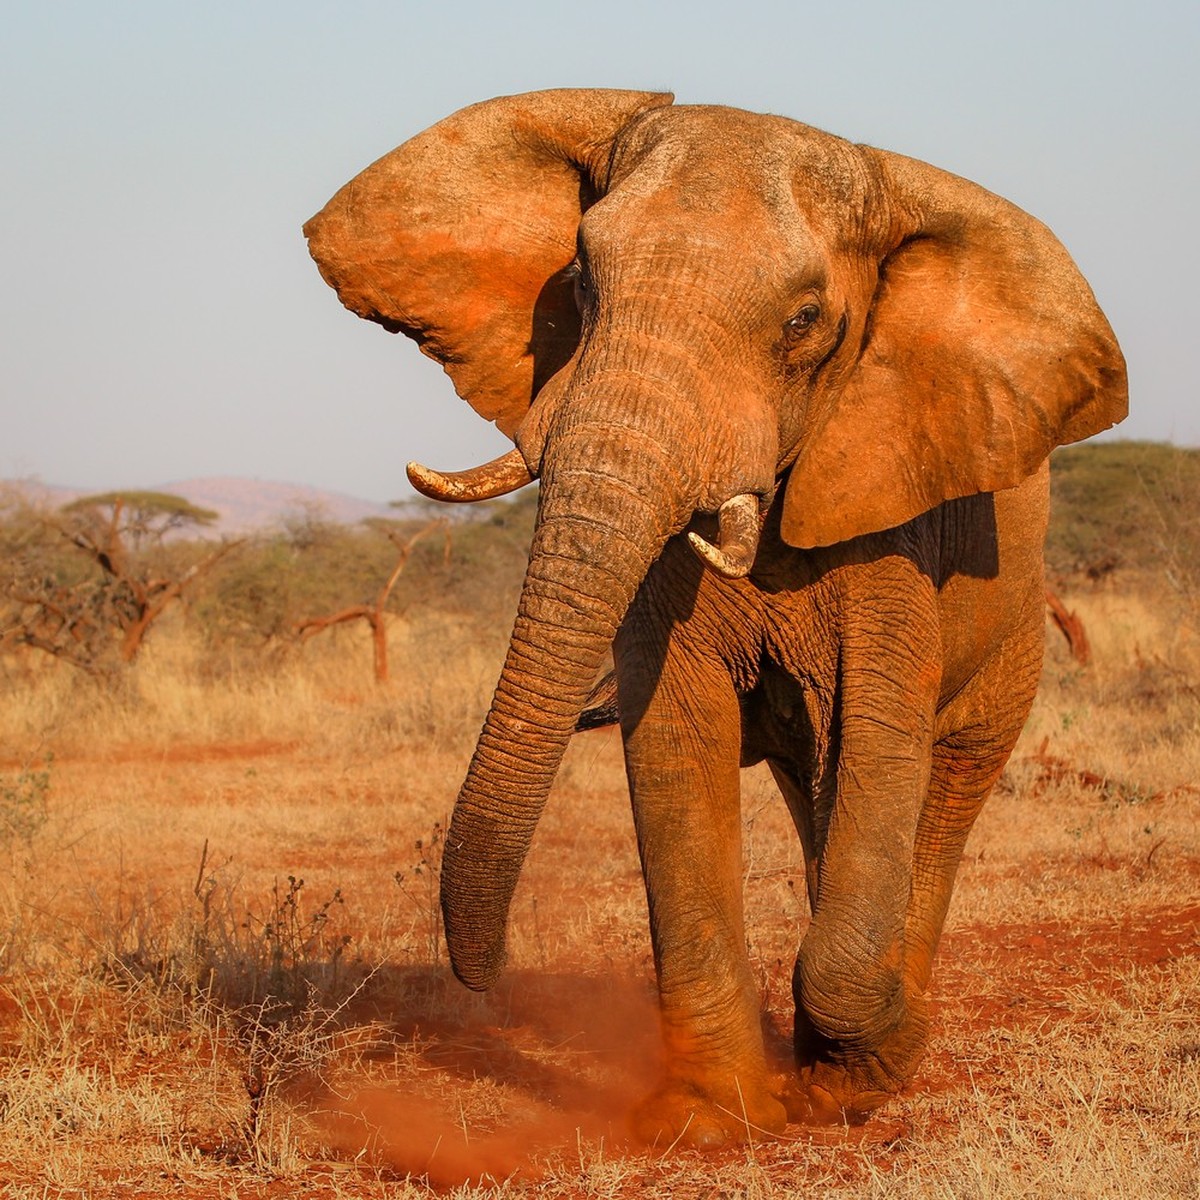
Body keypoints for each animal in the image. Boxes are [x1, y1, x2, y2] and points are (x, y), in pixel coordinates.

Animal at [304, 89, 1127, 1147]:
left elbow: (878, 742)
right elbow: (675, 739)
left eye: (806, 322)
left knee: (940, 791)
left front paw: (870, 1069)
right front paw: (714, 1118)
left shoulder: (898, 525)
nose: (482, 981)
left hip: (1013, 634)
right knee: (818, 796)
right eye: (579, 279)